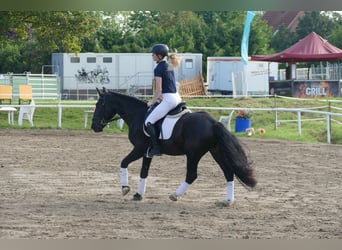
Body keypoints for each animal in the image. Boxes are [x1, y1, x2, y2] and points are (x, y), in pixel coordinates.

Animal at [91, 88, 256, 205]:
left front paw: (125, 188)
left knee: (192, 175)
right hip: (216, 151)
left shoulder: (139, 149)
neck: (137, 114)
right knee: (228, 172)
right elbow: (144, 172)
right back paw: (228, 201)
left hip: (193, 154)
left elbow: (124, 163)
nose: (94, 126)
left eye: (99, 104)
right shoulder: (147, 152)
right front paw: (138, 194)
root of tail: (213, 123)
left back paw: (174, 195)